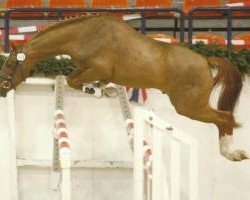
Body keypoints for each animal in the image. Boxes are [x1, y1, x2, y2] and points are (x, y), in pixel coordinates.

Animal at [0, 14, 248, 161]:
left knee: (225, 118)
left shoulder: (97, 68)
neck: (83, 35)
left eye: (10, 63)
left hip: (190, 107)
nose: (2, 89)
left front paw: (95, 90)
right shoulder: (88, 70)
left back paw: (231, 153)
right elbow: (74, 80)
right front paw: (102, 90)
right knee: (223, 119)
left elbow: (73, 81)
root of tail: (206, 60)